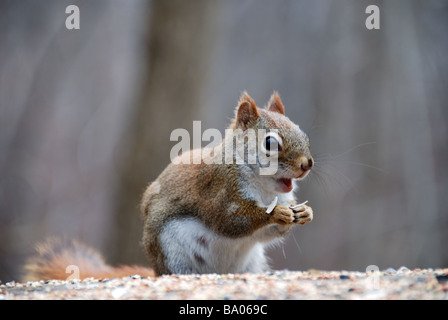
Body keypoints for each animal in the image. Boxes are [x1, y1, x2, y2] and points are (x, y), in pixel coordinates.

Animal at [22, 92, 314, 280]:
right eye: (270, 143)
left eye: (303, 132)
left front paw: (303, 213)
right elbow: (231, 220)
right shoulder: (218, 190)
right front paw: (274, 213)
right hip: (173, 253)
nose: (307, 164)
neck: (264, 187)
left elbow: (268, 233)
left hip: (251, 264)